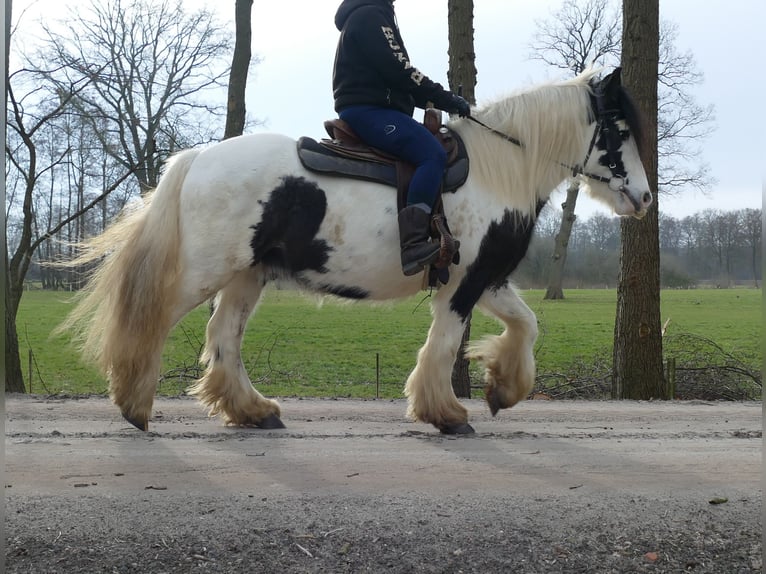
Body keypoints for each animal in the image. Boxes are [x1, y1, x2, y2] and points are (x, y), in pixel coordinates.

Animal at [61, 67, 652, 435]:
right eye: (618, 129)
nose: (644, 198)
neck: (496, 171)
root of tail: (198, 156)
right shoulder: (465, 283)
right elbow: (444, 345)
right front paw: (446, 412)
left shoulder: (486, 278)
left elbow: (527, 325)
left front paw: (502, 390)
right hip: (205, 272)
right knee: (151, 320)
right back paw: (134, 405)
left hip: (247, 277)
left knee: (224, 338)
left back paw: (253, 411)